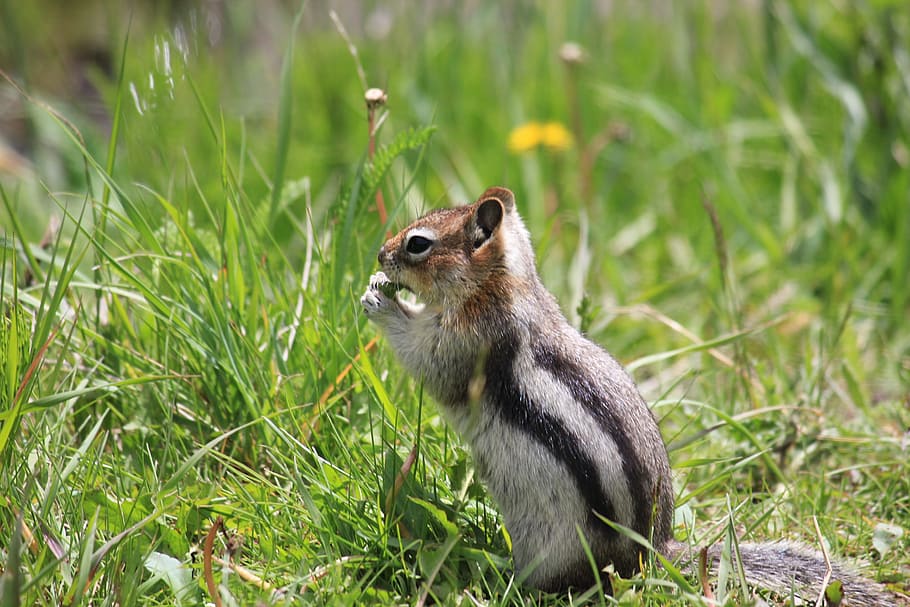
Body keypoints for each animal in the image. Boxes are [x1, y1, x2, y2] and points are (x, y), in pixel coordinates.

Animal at [360, 186, 900, 605]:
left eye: (418, 244)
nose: (380, 255)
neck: (501, 286)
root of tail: (654, 553)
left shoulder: (471, 342)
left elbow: (431, 363)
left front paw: (380, 300)